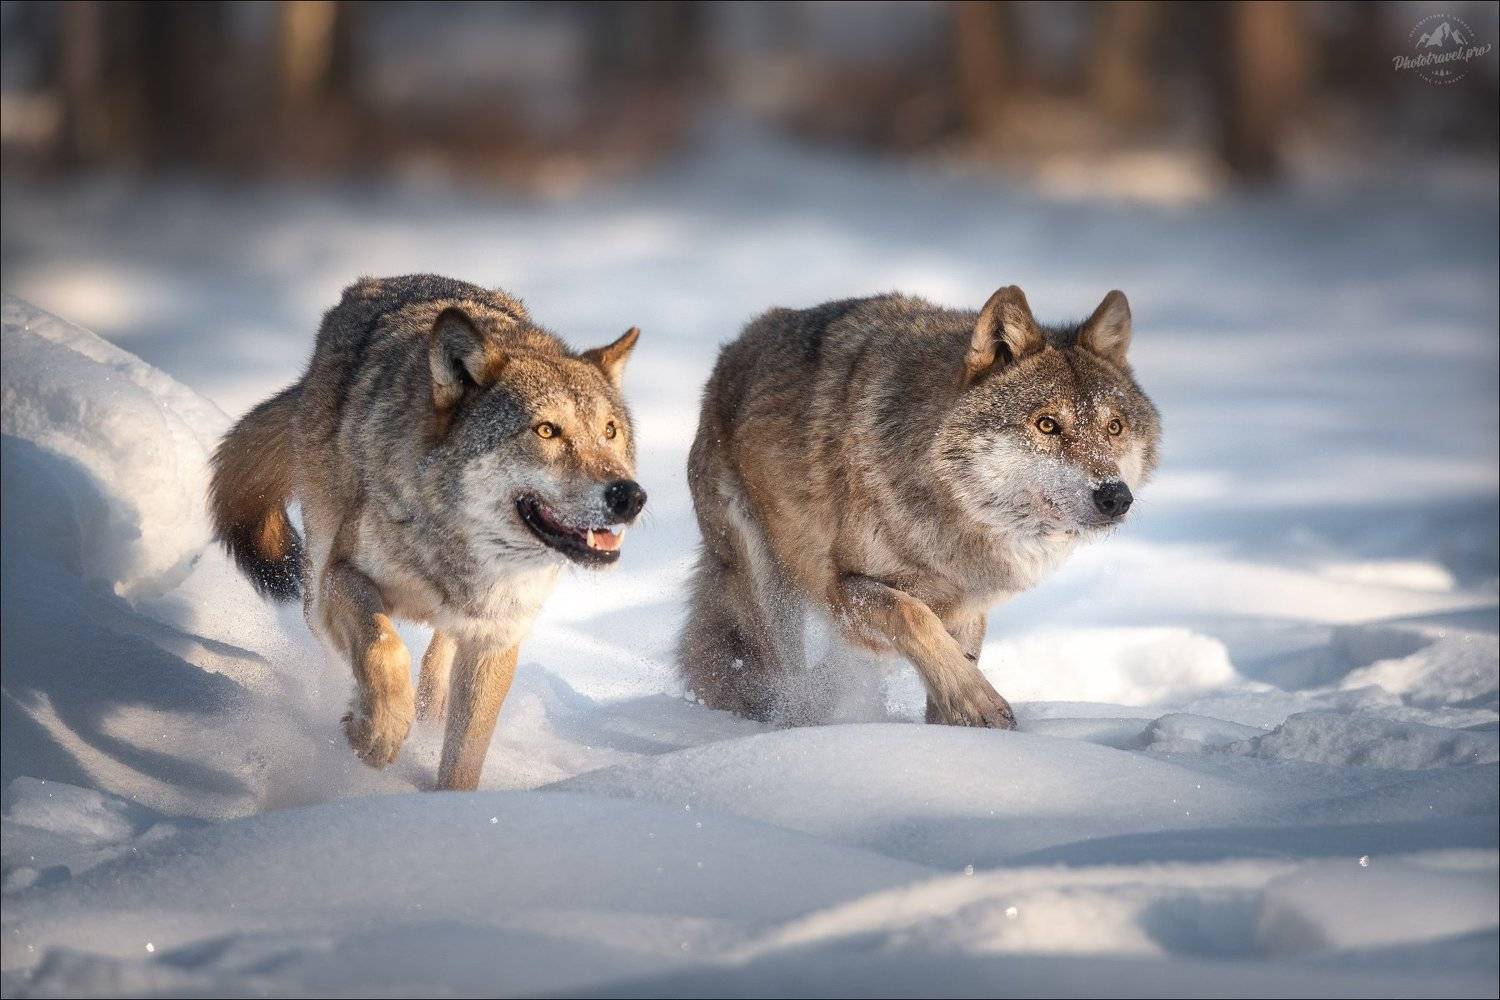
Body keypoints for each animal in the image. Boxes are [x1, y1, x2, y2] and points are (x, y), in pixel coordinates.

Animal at [210, 275, 646, 789]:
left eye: (610, 431)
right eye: (546, 431)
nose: (629, 495)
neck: (457, 551)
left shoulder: (496, 637)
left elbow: (465, 756)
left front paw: (445, 801)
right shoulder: (342, 576)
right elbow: (382, 647)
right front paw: (377, 732)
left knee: (439, 654)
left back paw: (429, 709)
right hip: (316, 587)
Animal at [677, 286, 1159, 727]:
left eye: (1114, 428)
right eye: (1046, 425)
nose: (1115, 496)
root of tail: (735, 346)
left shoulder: (968, 607)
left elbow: (952, 661)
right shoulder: (844, 589)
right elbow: (913, 615)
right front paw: (978, 703)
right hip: (767, 589)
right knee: (783, 679)